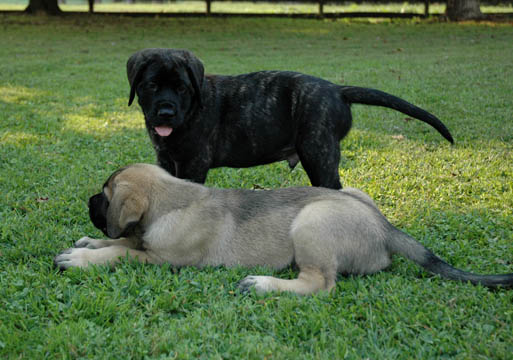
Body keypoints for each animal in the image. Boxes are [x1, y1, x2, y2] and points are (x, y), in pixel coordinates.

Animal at [53, 165, 512, 294]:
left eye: (104, 196)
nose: (89, 203)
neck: (172, 199)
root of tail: (386, 228)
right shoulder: (144, 238)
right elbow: (123, 237)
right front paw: (87, 241)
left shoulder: (163, 259)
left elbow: (121, 249)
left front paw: (82, 258)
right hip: (351, 192)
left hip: (311, 224)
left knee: (319, 285)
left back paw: (263, 284)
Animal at [126, 48, 454, 190]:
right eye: (151, 85)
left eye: (182, 87)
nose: (165, 112)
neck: (192, 108)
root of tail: (337, 89)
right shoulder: (166, 160)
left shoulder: (194, 164)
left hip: (318, 154)